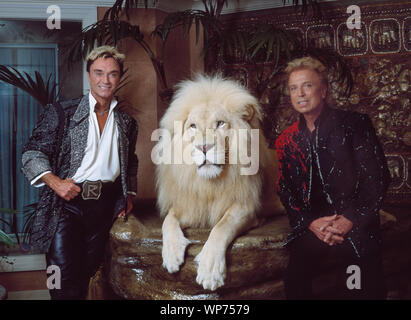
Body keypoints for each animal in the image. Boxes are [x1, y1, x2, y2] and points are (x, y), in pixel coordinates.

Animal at [154, 74, 284, 290]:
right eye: (193, 126)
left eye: (220, 123)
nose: (204, 147)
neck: (211, 185)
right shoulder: (190, 205)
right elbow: (168, 220)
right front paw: (171, 255)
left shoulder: (246, 208)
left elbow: (221, 227)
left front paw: (210, 271)